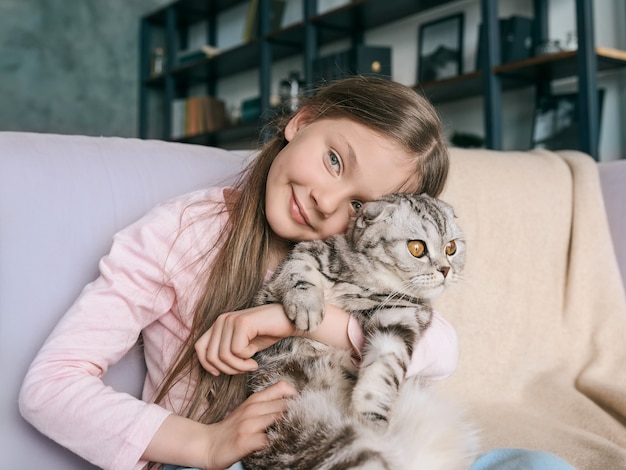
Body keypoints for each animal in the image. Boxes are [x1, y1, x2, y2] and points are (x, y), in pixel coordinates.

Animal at [241, 193, 476, 468]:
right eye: (417, 248)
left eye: (451, 248)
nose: (446, 270)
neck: (363, 282)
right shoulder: (309, 252)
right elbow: (299, 269)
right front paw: (306, 304)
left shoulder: (400, 317)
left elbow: (384, 370)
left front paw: (370, 417)